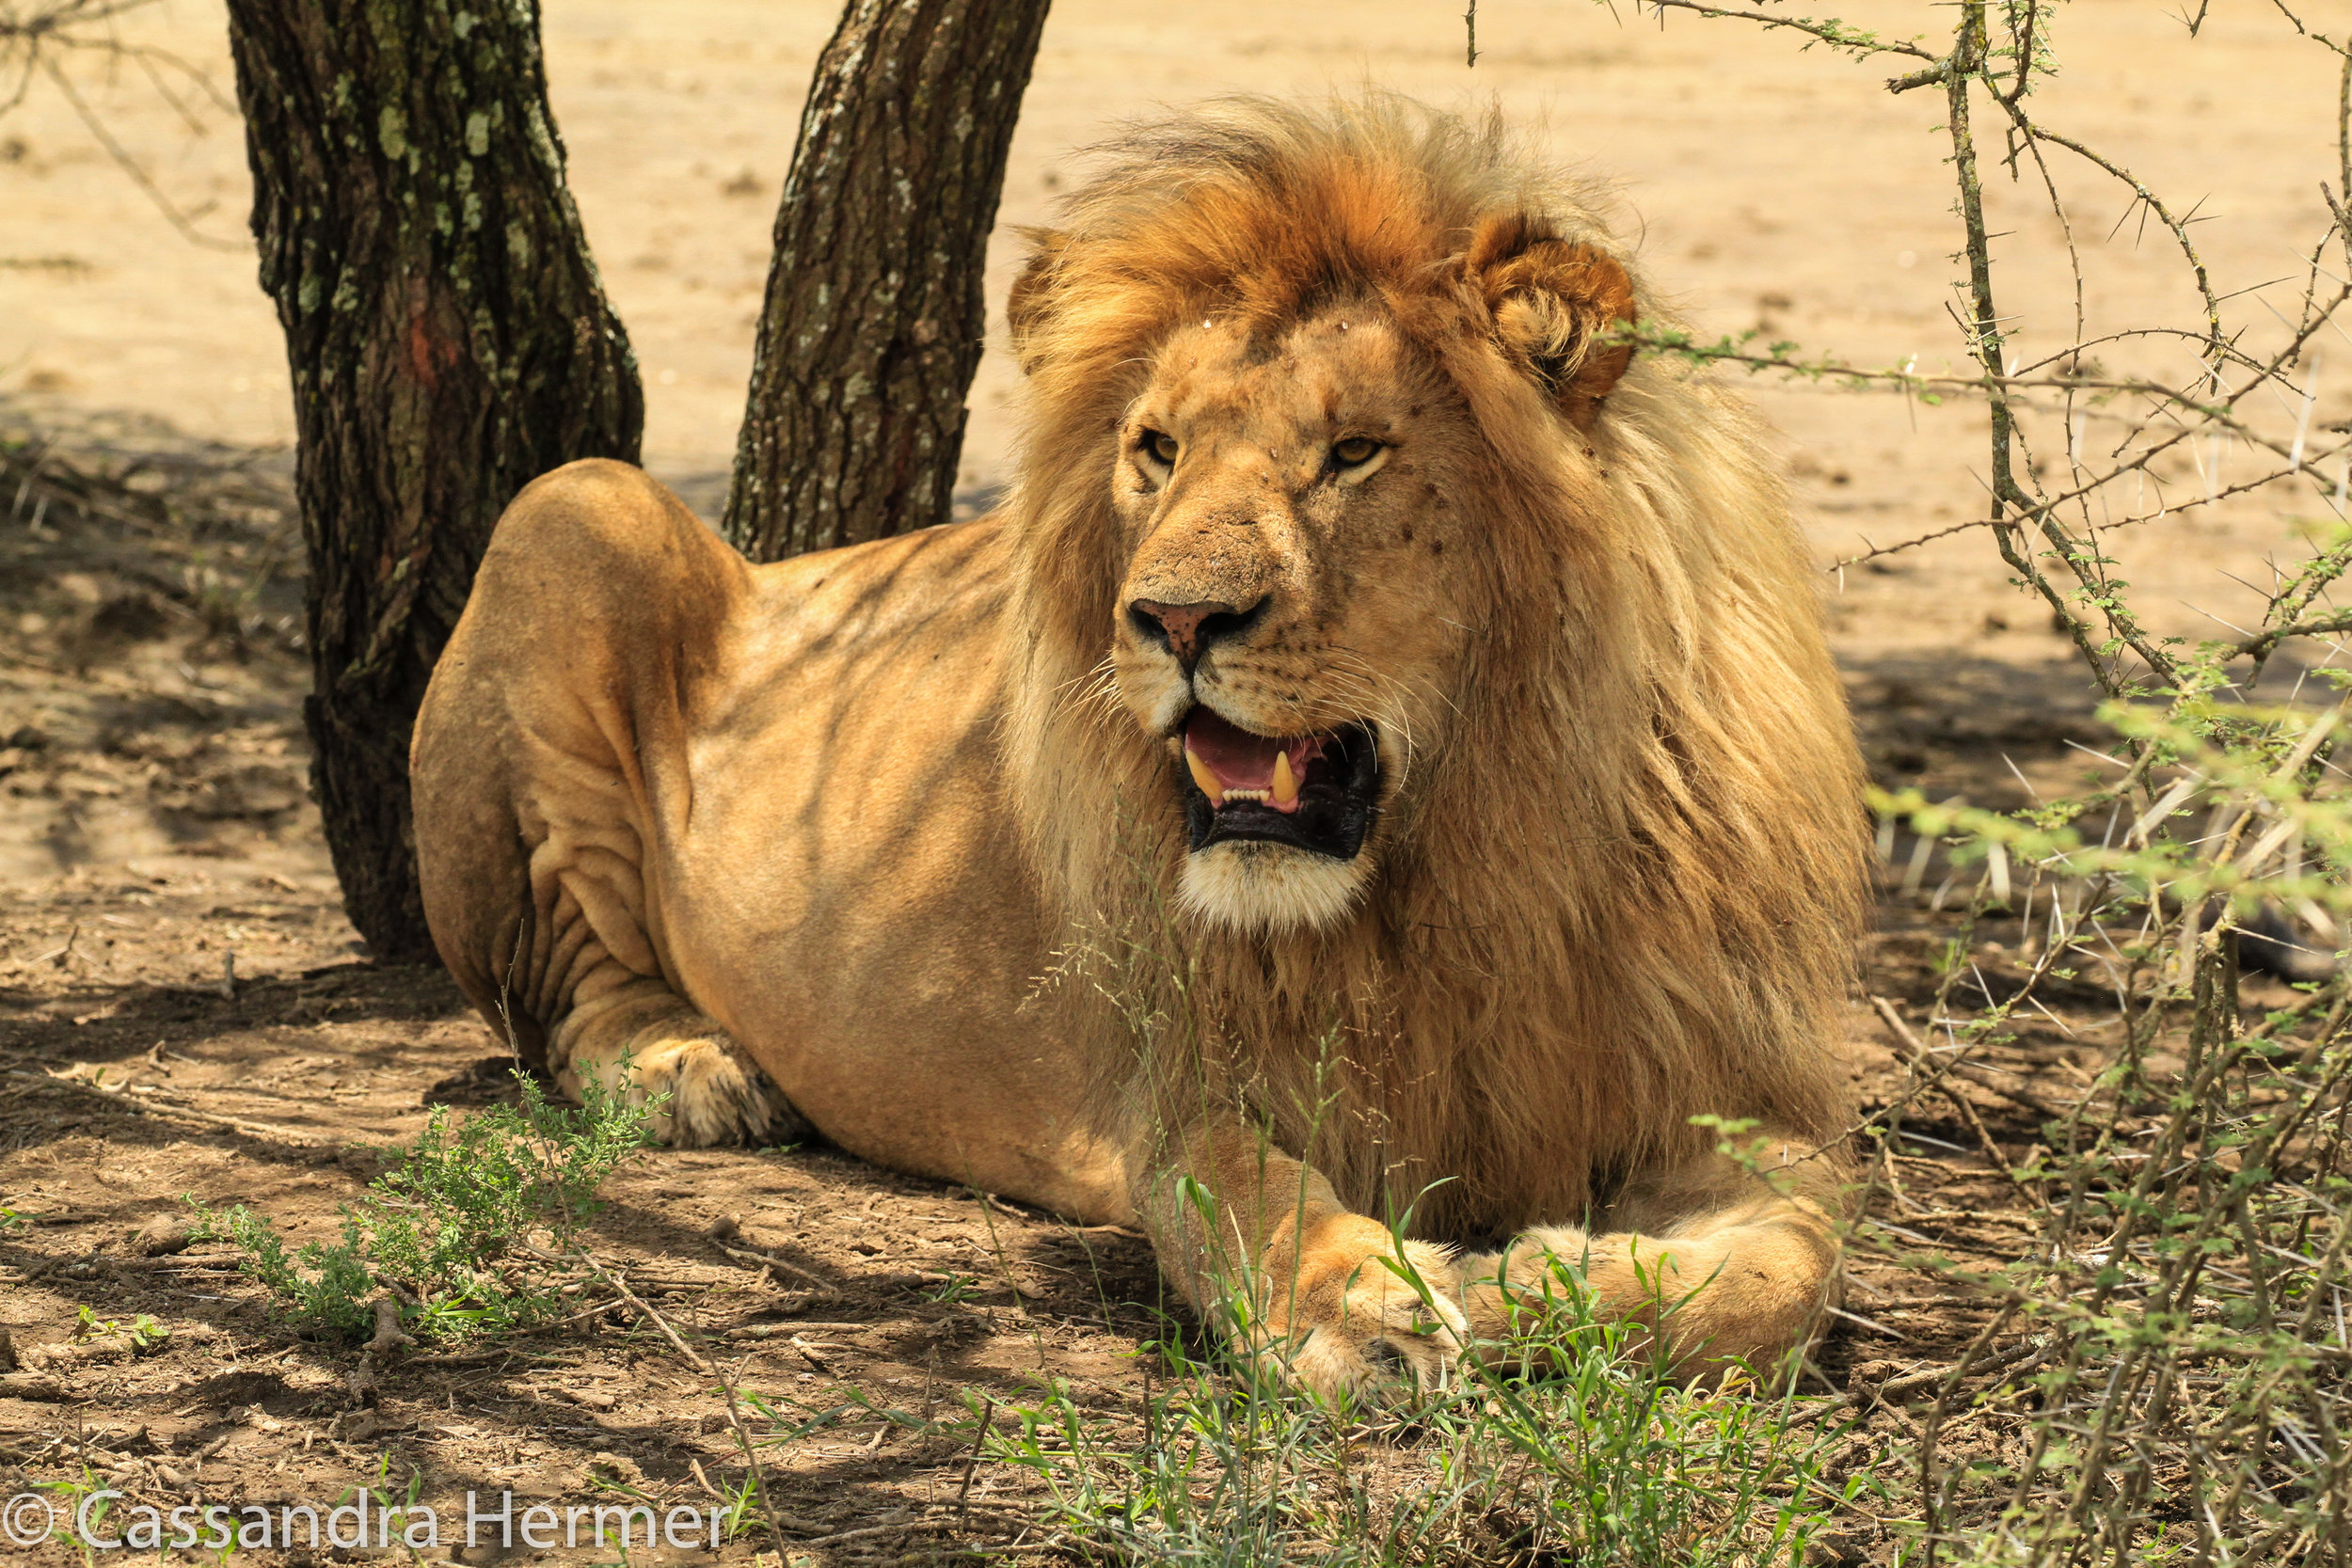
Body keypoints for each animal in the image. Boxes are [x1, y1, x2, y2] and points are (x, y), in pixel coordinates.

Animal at [410, 94, 1867, 1398]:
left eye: (1354, 452)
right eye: (1157, 449)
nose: (1172, 618)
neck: (1473, 862)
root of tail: (785, 564)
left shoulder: (1734, 1086)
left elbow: (1794, 1267)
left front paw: (1534, 1277)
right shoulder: (1187, 1071)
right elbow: (1249, 1188)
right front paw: (1359, 1304)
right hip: (575, 506)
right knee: (567, 985)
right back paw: (689, 1067)